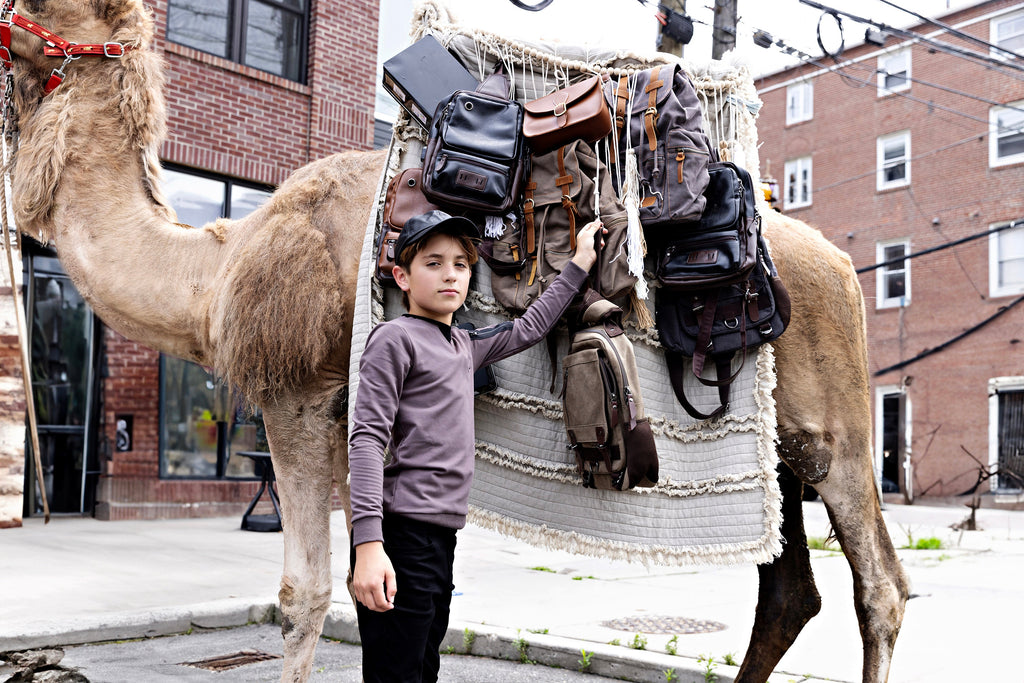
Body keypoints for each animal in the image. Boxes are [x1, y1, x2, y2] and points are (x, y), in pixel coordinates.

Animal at [4, 1, 909, 683]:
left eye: (45, 4)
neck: (214, 274)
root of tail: (841, 270)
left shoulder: (297, 397)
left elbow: (302, 596)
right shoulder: (346, 426)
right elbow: (362, 590)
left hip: (834, 429)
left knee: (881, 587)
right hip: (777, 457)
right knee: (789, 590)